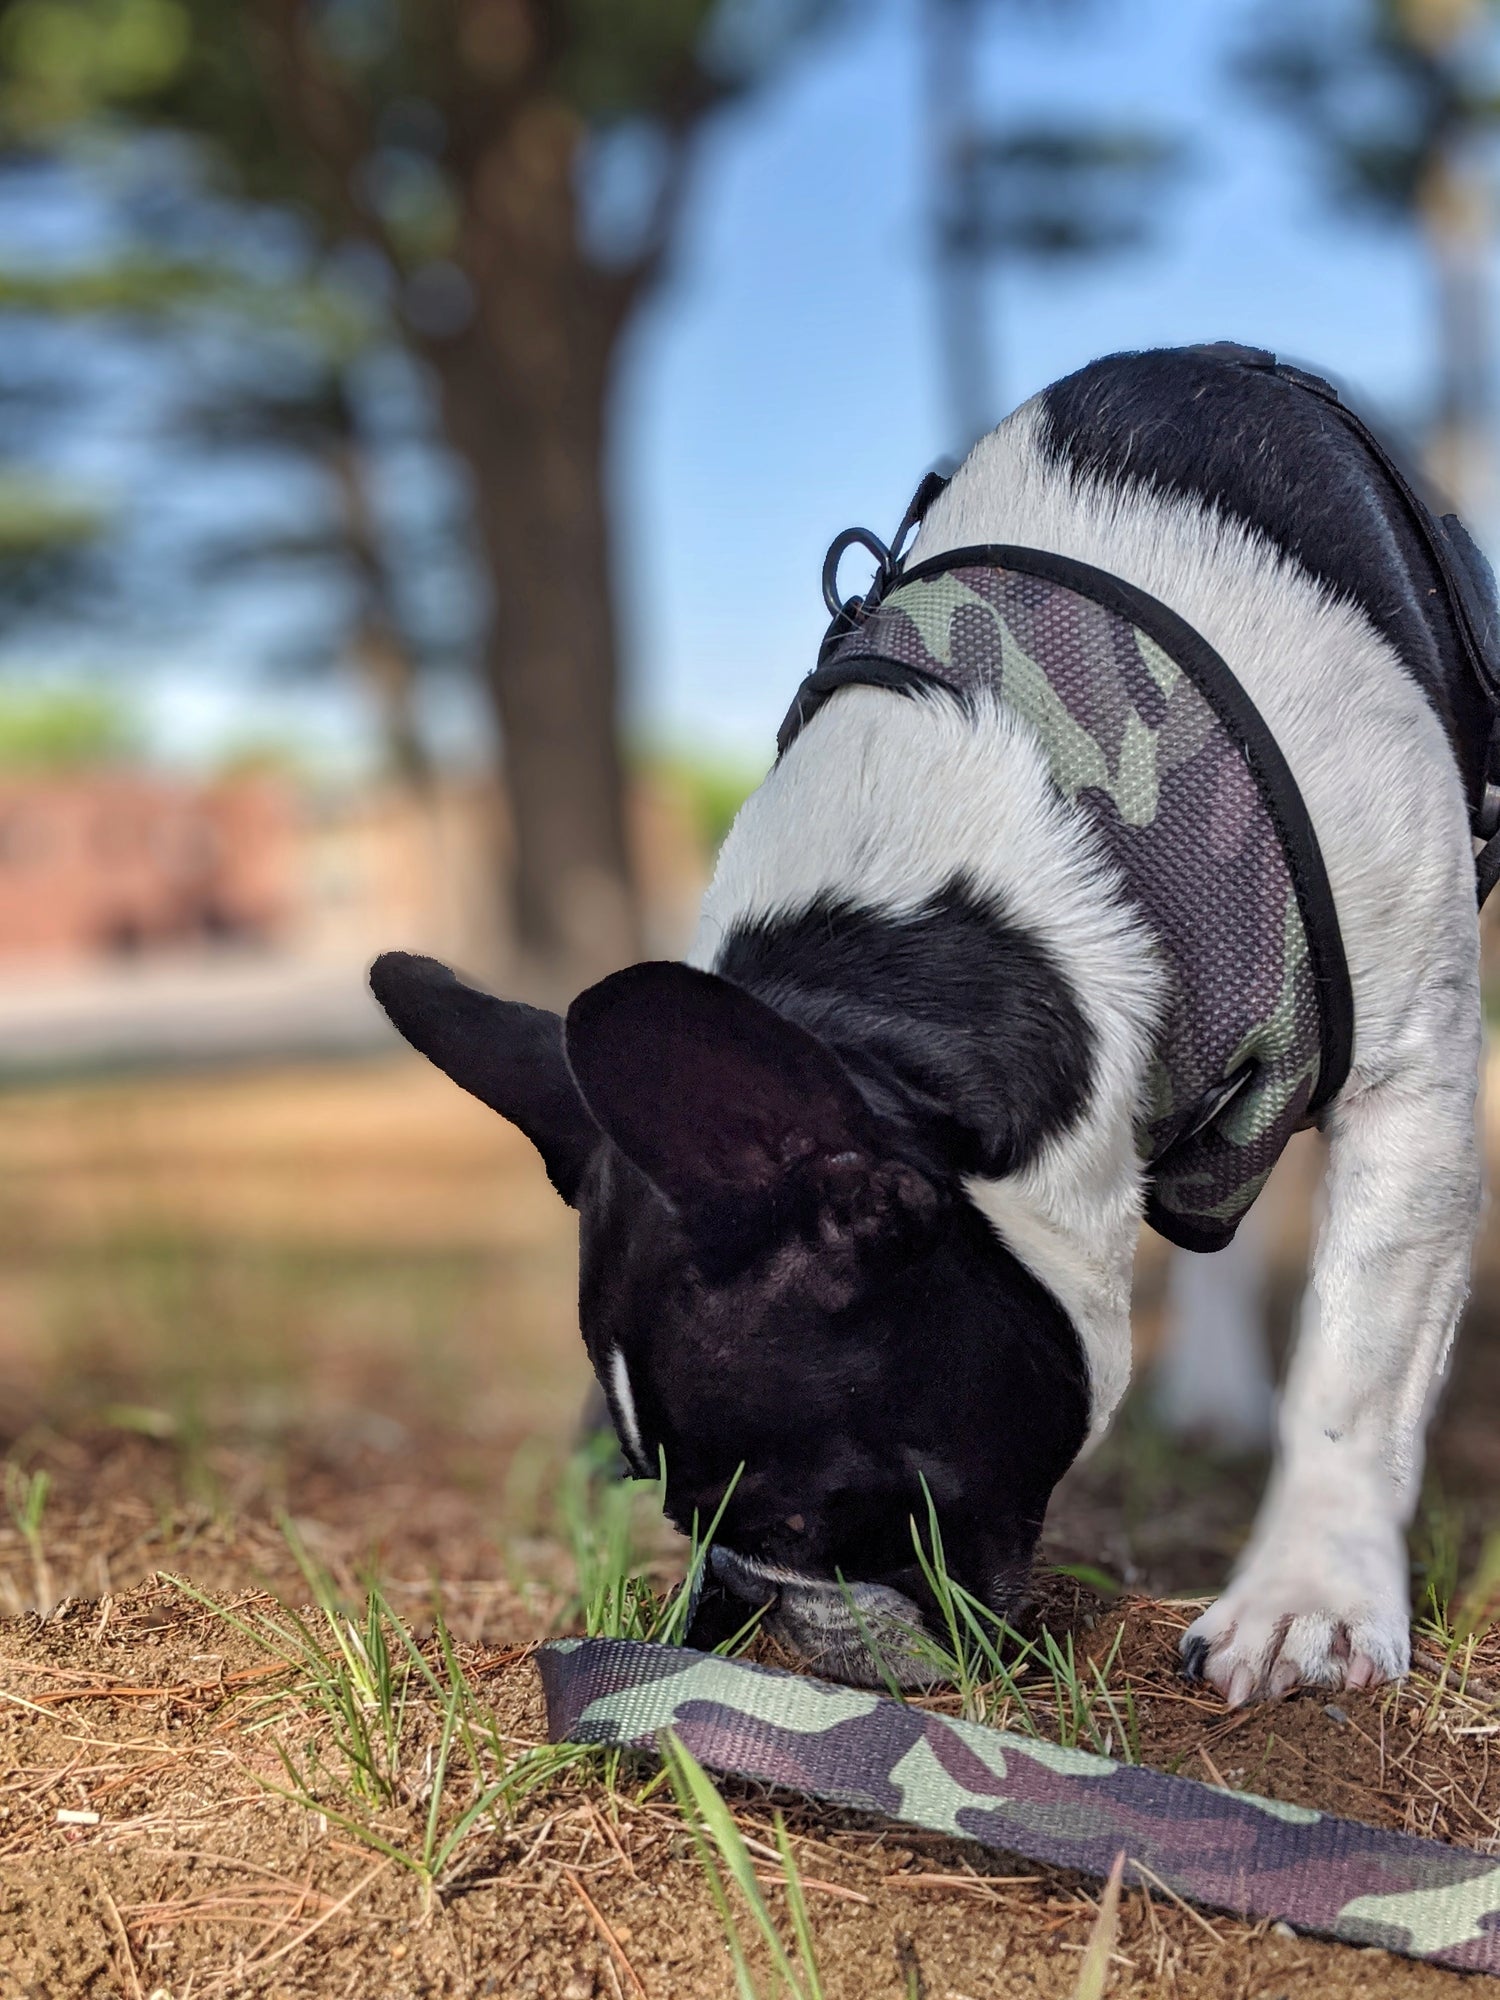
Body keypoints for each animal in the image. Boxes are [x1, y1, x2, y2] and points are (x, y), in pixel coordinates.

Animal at [370, 344, 1496, 1704]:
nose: (746, 1604)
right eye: (670, 1508)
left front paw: (1306, 1596)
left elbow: (1358, 1355)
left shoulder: (1409, 1081)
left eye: (798, 1515)